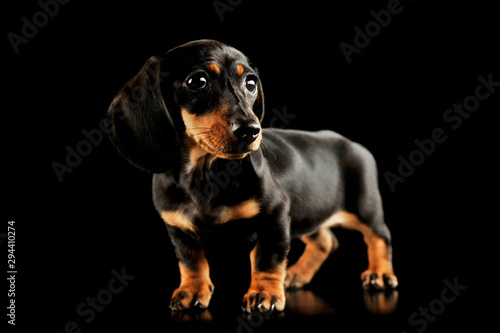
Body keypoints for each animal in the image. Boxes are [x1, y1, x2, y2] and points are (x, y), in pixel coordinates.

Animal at [106, 39, 398, 314]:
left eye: (250, 82)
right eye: (197, 81)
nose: (251, 131)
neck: (204, 174)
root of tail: (353, 144)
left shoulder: (275, 214)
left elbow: (266, 258)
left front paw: (264, 294)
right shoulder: (178, 226)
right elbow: (191, 262)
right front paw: (192, 290)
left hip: (363, 208)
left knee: (379, 236)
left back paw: (380, 274)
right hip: (307, 211)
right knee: (325, 241)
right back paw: (297, 275)